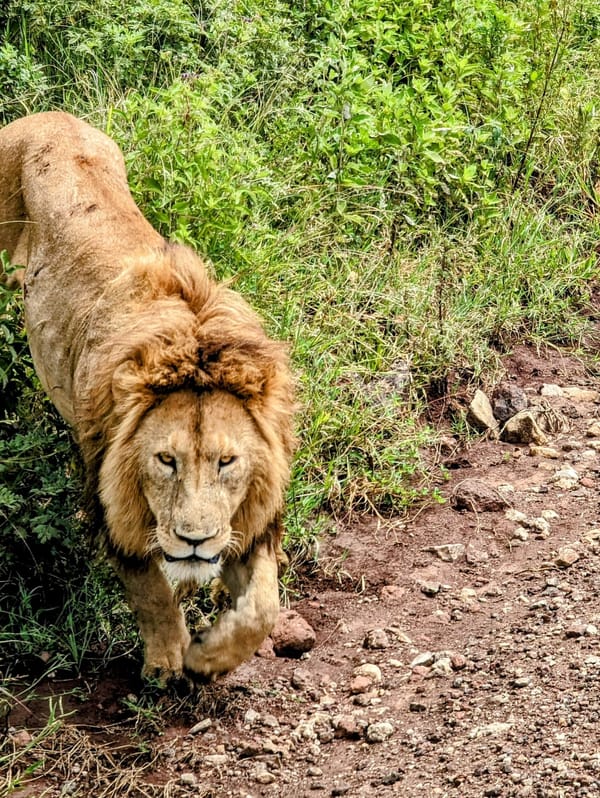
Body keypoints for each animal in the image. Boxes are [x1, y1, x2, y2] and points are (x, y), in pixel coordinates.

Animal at [0, 111, 296, 681]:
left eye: (227, 461)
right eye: (165, 459)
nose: (195, 541)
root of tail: (47, 116)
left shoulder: (247, 519)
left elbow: (264, 609)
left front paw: (209, 654)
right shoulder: (109, 494)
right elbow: (149, 586)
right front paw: (166, 659)